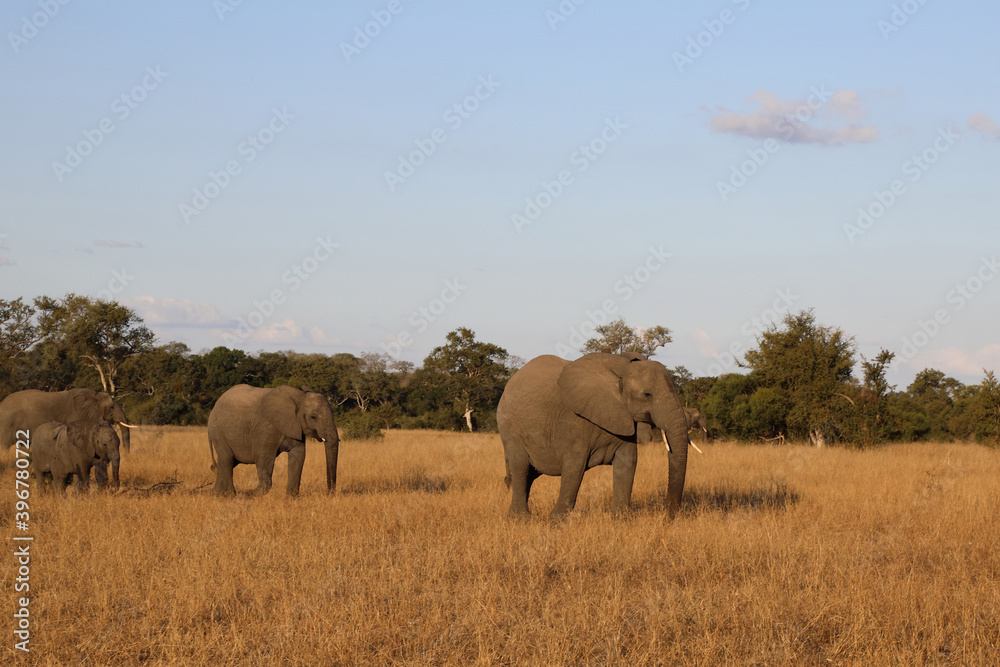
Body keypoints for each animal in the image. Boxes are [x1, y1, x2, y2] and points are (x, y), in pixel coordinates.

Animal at [0, 388, 133, 456]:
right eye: (111, 407)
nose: (126, 455)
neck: (95, 396)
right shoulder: (76, 415)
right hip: (6, 424)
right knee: (4, 446)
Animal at [207, 386, 340, 496]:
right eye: (313, 417)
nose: (329, 493)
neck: (299, 397)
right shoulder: (265, 428)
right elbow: (264, 457)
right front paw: (248, 495)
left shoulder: (296, 427)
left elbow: (299, 455)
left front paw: (291, 498)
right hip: (218, 432)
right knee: (227, 459)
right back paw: (229, 495)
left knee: (227, 462)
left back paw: (216, 494)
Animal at [496, 352, 692, 520]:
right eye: (647, 394)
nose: (667, 517)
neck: (621, 369)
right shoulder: (575, 418)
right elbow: (575, 466)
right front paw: (557, 522)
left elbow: (627, 463)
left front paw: (620, 520)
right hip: (508, 427)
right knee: (521, 468)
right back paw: (520, 519)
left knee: (529, 474)